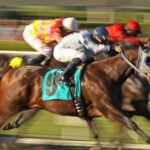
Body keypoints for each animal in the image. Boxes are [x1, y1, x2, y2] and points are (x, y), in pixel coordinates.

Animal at [0, 46, 150, 143]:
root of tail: (11, 71)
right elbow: (131, 124)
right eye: (148, 59)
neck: (108, 73)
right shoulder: (107, 108)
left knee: (18, 121)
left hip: (32, 105)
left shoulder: (95, 111)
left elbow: (97, 135)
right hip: (10, 105)